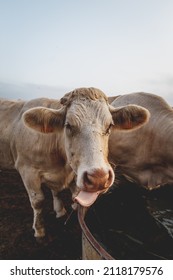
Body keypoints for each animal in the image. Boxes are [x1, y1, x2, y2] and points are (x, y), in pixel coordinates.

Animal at [0, 87, 149, 238]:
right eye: (68, 125)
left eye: (110, 126)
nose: (99, 178)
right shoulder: (27, 170)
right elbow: (38, 201)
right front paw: (39, 229)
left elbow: (61, 192)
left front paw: (60, 210)